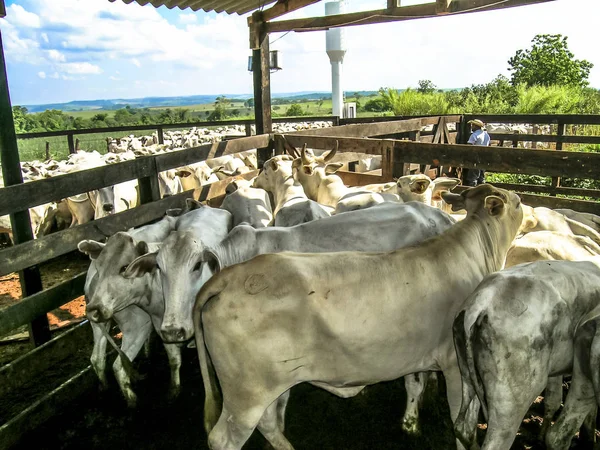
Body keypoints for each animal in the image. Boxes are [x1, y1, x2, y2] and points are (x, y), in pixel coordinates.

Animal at [195, 184, 524, 450]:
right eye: (517, 202)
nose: (522, 202)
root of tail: (232, 275)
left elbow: (416, 384)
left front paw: (411, 422)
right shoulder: (455, 365)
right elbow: (459, 421)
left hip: (270, 384)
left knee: (269, 422)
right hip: (246, 393)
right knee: (224, 438)